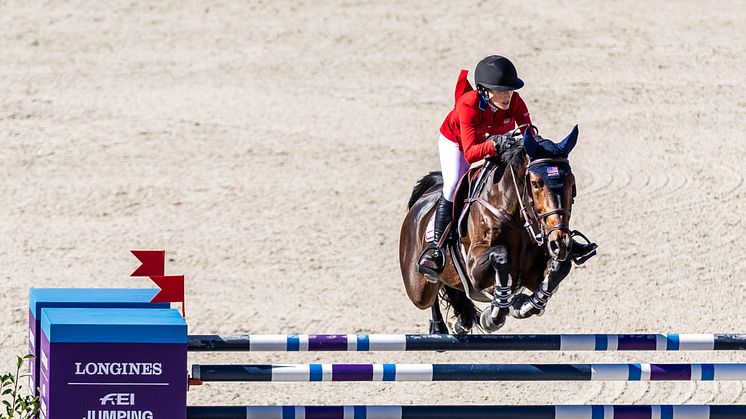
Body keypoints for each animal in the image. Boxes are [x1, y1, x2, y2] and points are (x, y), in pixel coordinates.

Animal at [398, 127, 580, 334]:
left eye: (572, 184)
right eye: (535, 184)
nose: (560, 243)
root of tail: (423, 200)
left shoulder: (533, 274)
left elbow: (559, 269)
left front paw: (523, 305)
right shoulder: (474, 270)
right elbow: (501, 257)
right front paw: (493, 316)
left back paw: (461, 322)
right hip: (417, 287)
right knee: (430, 292)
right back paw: (438, 326)